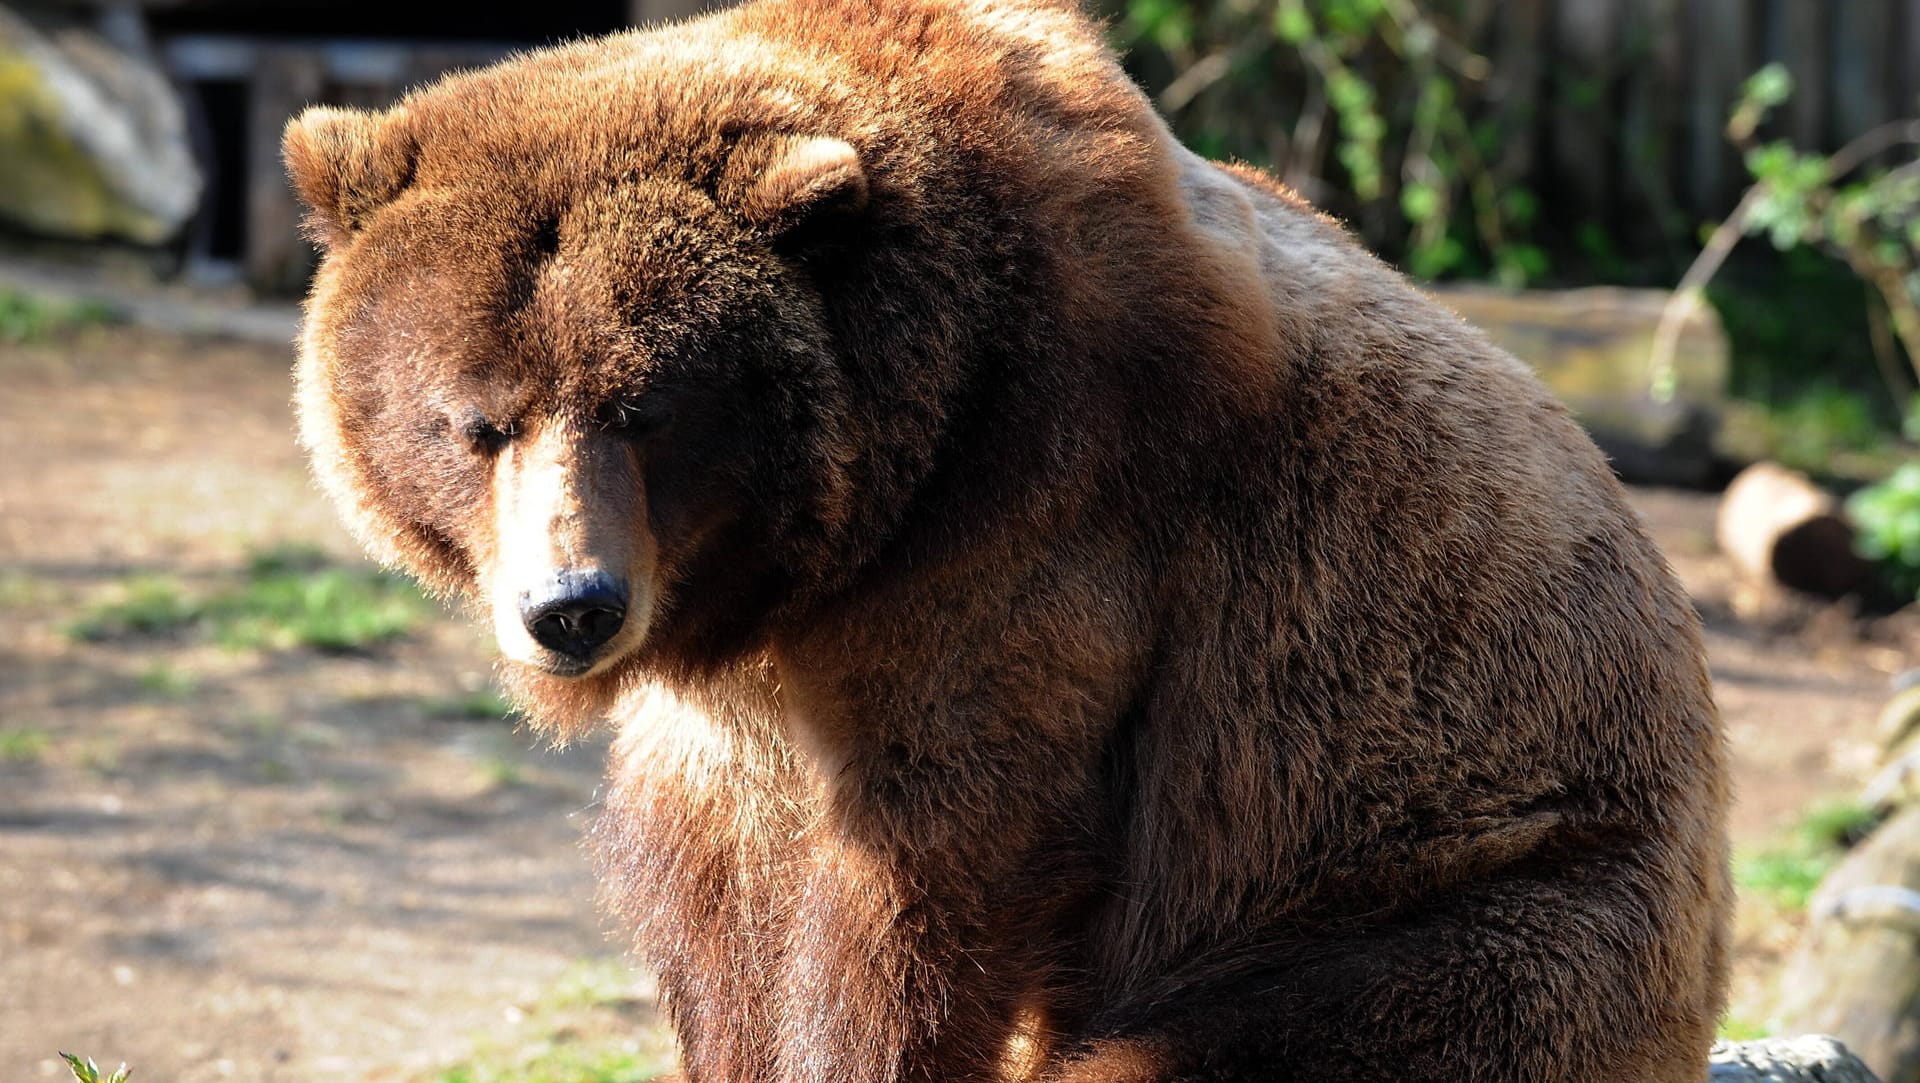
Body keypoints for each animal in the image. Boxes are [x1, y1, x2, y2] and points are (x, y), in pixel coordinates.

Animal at [288, 2, 1743, 1083]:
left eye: (644, 406)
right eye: (477, 419)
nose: (571, 605)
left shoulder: (1040, 529)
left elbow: (920, 884)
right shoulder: (743, 698)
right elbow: (721, 896)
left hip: (1457, 902)